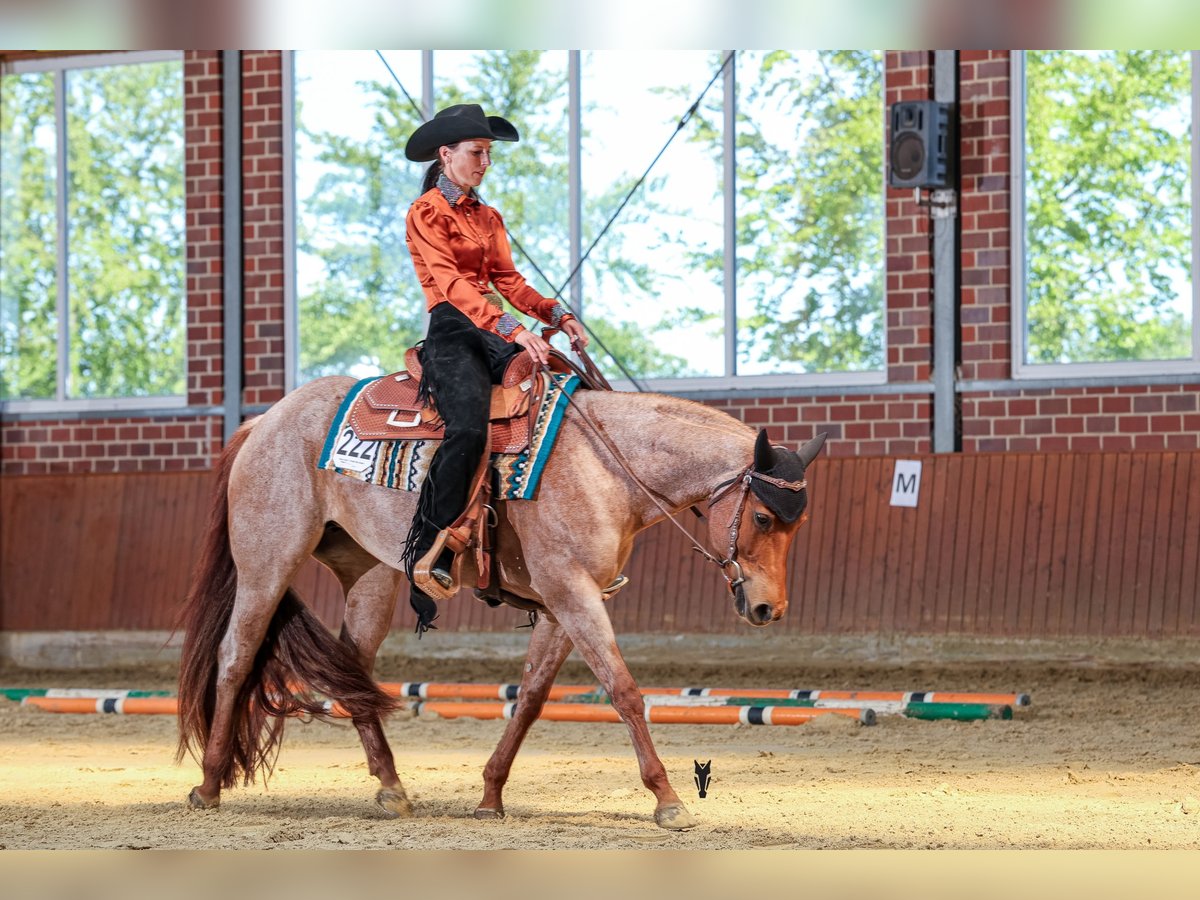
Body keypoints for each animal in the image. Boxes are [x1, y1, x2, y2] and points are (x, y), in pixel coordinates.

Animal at [176, 372, 826, 830]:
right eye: (763, 518)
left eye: (799, 526)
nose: (769, 609)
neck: (605, 466)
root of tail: (263, 422)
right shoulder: (573, 592)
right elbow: (624, 691)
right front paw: (667, 799)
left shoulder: (565, 604)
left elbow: (532, 698)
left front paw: (490, 795)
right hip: (267, 564)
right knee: (236, 657)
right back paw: (208, 785)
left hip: (369, 577)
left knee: (352, 671)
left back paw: (391, 788)